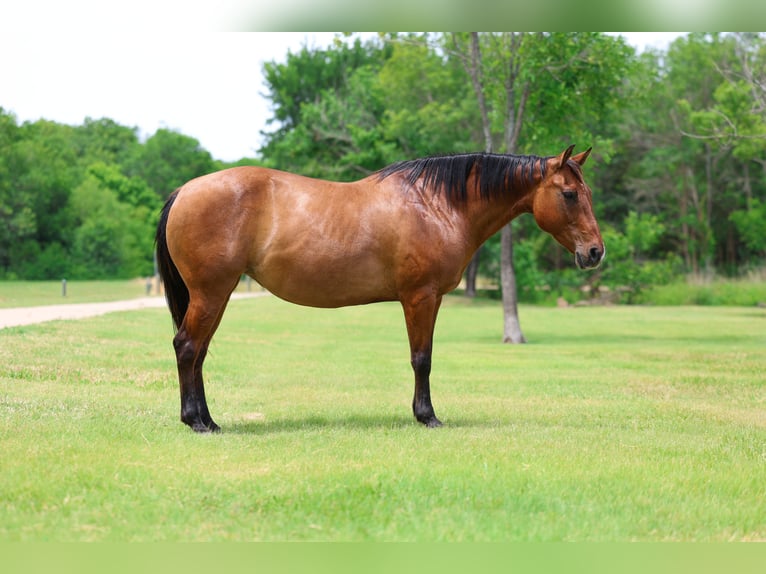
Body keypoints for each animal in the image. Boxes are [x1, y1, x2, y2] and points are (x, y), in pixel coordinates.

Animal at [154, 145, 604, 432]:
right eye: (569, 194)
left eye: (587, 192)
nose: (595, 252)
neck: (437, 204)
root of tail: (184, 191)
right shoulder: (421, 296)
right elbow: (422, 358)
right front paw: (427, 416)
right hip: (211, 293)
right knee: (188, 347)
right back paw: (195, 422)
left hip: (217, 295)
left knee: (198, 352)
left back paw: (209, 420)